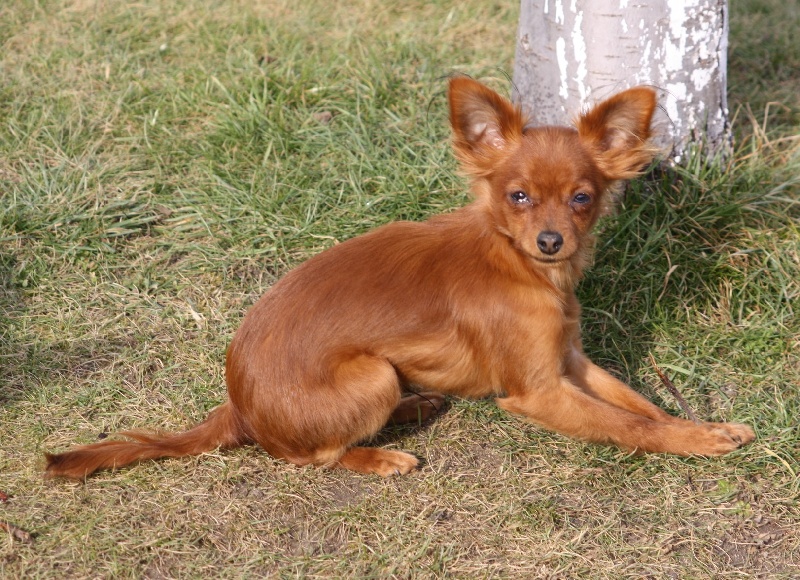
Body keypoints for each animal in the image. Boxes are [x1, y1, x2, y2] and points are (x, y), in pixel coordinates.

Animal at [45, 78, 754, 479]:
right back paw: (382, 453)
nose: (551, 241)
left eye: (582, 198)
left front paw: (707, 426)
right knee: (307, 457)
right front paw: (698, 441)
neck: (518, 263)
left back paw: (418, 404)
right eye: (518, 197)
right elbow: (629, 426)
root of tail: (238, 404)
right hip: (370, 375)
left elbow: (640, 403)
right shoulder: (537, 392)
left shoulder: (570, 363)